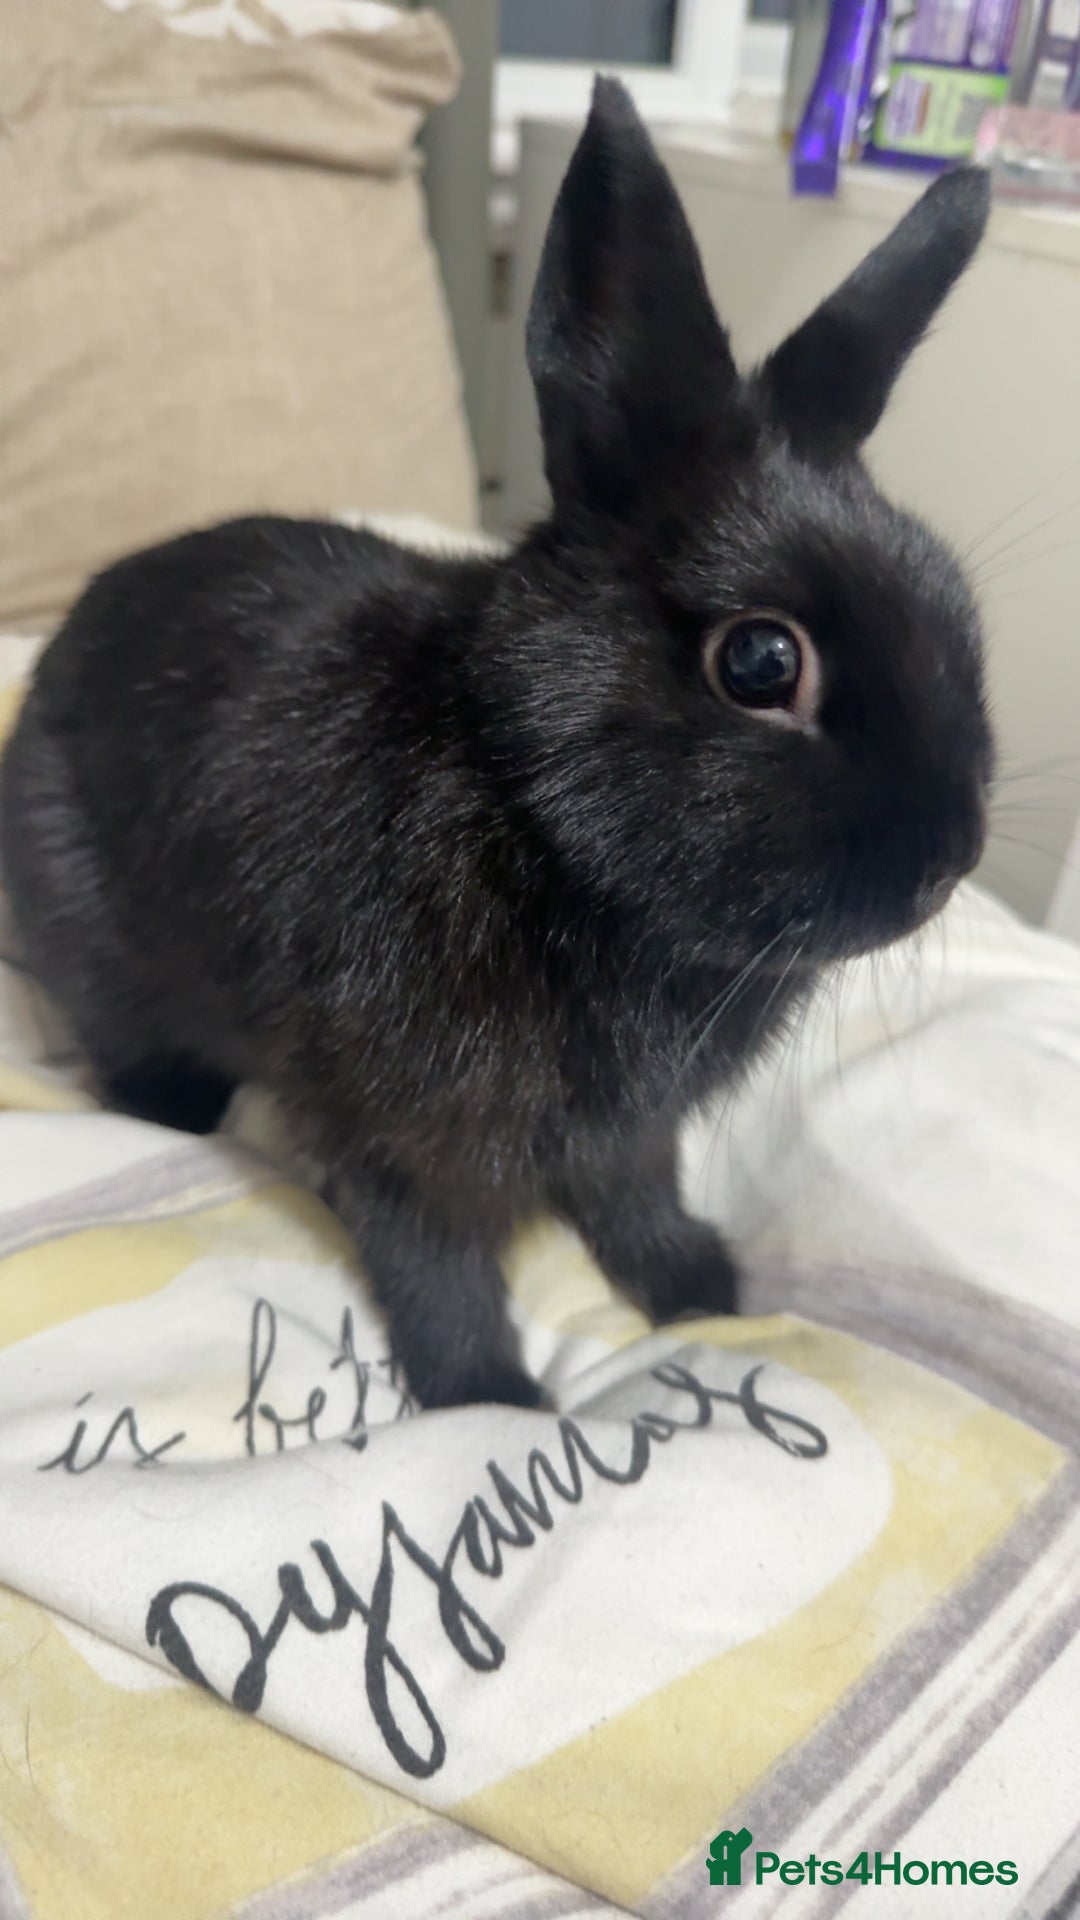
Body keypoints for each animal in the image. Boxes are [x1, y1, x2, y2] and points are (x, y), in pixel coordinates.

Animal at [0, 79, 993, 1412]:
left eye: (955, 603)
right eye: (761, 663)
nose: (950, 860)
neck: (527, 811)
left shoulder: (632, 1136)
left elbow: (635, 1198)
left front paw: (700, 1290)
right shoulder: (401, 1132)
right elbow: (435, 1260)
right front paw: (489, 1401)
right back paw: (175, 1101)